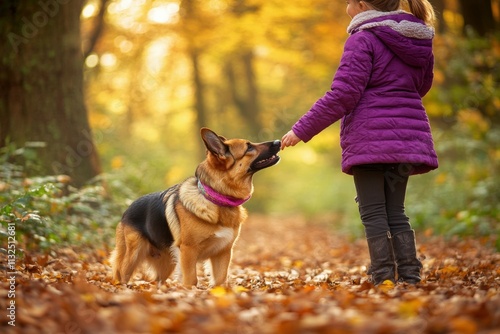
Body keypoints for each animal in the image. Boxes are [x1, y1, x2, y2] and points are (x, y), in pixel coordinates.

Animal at [110, 128, 282, 288]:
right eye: (249, 147)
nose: (278, 142)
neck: (216, 199)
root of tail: (127, 209)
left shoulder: (222, 253)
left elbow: (221, 281)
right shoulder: (188, 252)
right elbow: (191, 280)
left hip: (168, 264)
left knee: (158, 281)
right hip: (134, 255)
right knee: (123, 275)